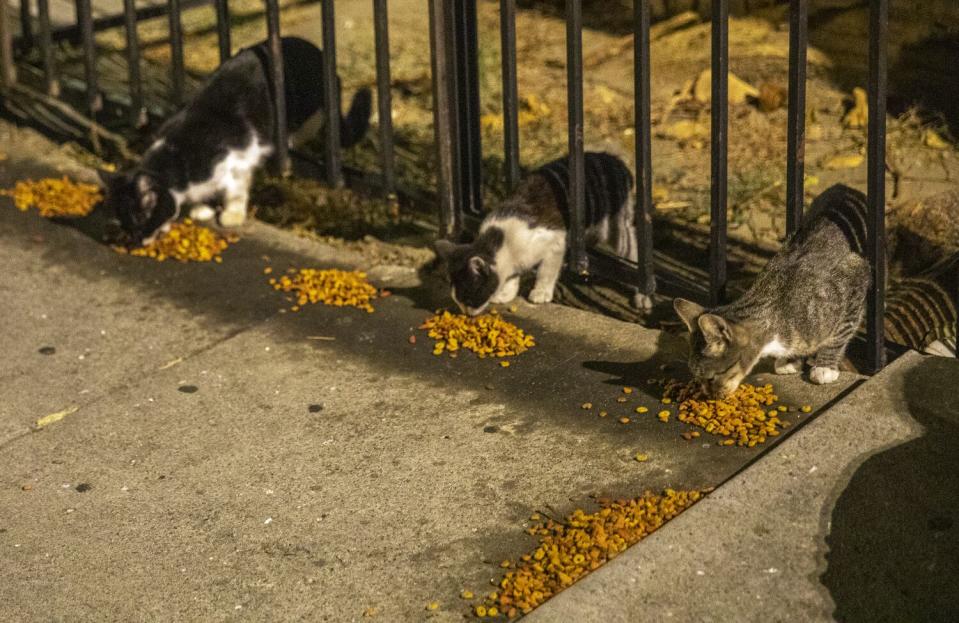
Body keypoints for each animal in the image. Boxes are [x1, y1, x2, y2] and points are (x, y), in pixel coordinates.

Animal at [105, 36, 372, 249]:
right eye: (123, 224)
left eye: (139, 222)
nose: (136, 242)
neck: (178, 157)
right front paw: (201, 207)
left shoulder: (240, 158)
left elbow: (235, 190)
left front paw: (231, 215)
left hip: (308, 109)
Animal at [436, 152, 636, 316]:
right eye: (457, 300)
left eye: (469, 298)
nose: (465, 312)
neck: (503, 240)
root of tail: (614, 159)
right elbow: (512, 276)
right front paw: (506, 292)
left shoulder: (554, 241)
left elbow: (546, 271)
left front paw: (541, 292)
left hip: (617, 226)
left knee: (631, 252)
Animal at [676, 183, 876, 394]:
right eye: (697, 378)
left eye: (711, 378)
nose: (708, 394)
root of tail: (843, 187)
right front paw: (790, 359)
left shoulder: (854, 275)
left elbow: (841, 332)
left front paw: (825, 366)